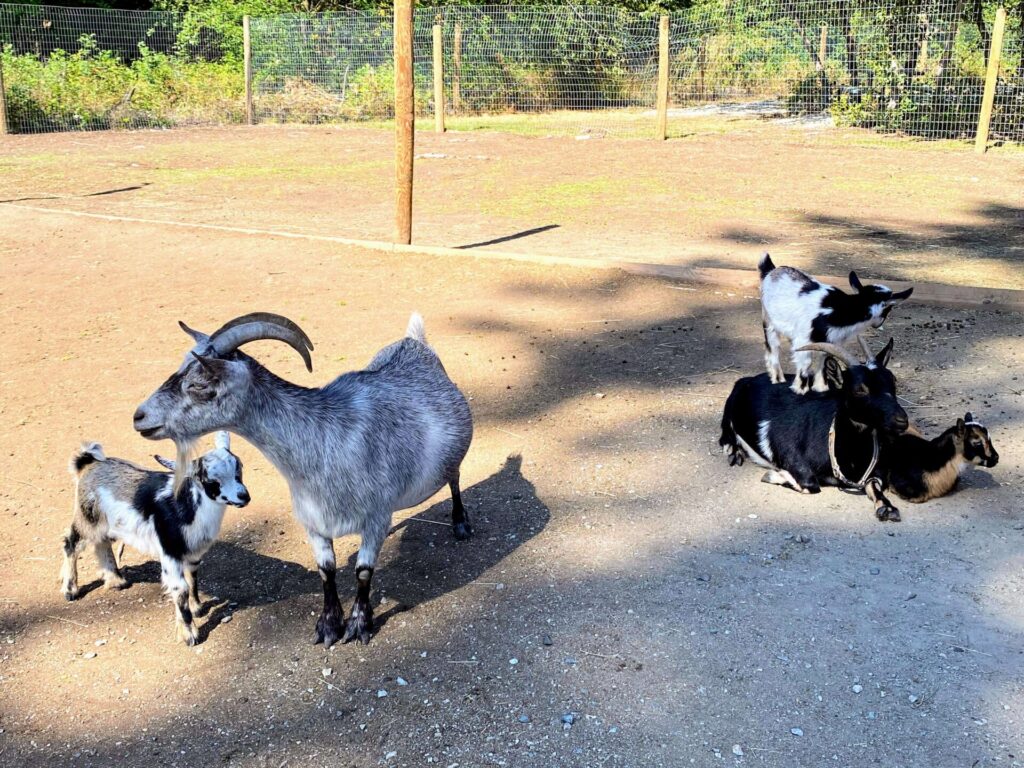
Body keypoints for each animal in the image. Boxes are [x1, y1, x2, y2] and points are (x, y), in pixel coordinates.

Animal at [61, 434, 249, 643]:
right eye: (211, 480)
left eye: (239, 467)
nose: (243, 496)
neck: (187, 505)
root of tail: (88, 463)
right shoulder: (169, 550)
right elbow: (180, 588)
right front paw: (189, 634)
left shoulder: (192, 552)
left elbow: (192, 579)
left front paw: (197, 608)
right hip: (87, 518)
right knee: (71, 543)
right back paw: (70, 590)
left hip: (104, 523)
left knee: (102, 543)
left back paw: (116, 580)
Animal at [130, 313, 473, 651]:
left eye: (200, 385)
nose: (139, 416)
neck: (323, 443)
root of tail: (413, 341)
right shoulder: (312, 522)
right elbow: (326, 570)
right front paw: (328, 627)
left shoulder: (376, 516)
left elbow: (363, 572)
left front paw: (359, 625)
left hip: (451, 460)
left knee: (454, 478)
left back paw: (461, 523)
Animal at [720, 337, 913, 524]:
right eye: (860, 389)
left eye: (893, 382)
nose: (902, 419)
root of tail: (750, 380)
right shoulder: (791, 455)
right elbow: (810, 484)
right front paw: (773, 475)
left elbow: (875, 485)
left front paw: (888, 508)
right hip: (730, 406)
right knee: (725, 435)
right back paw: (734, 453)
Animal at [761, 253, 913, 393]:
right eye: (889, 308)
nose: (878, 325)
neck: (840, 311)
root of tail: (772, 270)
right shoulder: (803, 340)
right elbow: (805, 365)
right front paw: (799, 390)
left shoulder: (829, 343)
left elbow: (823, 365)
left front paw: (821, 388)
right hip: (768, 320)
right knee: (773, 350)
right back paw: (778, 380)